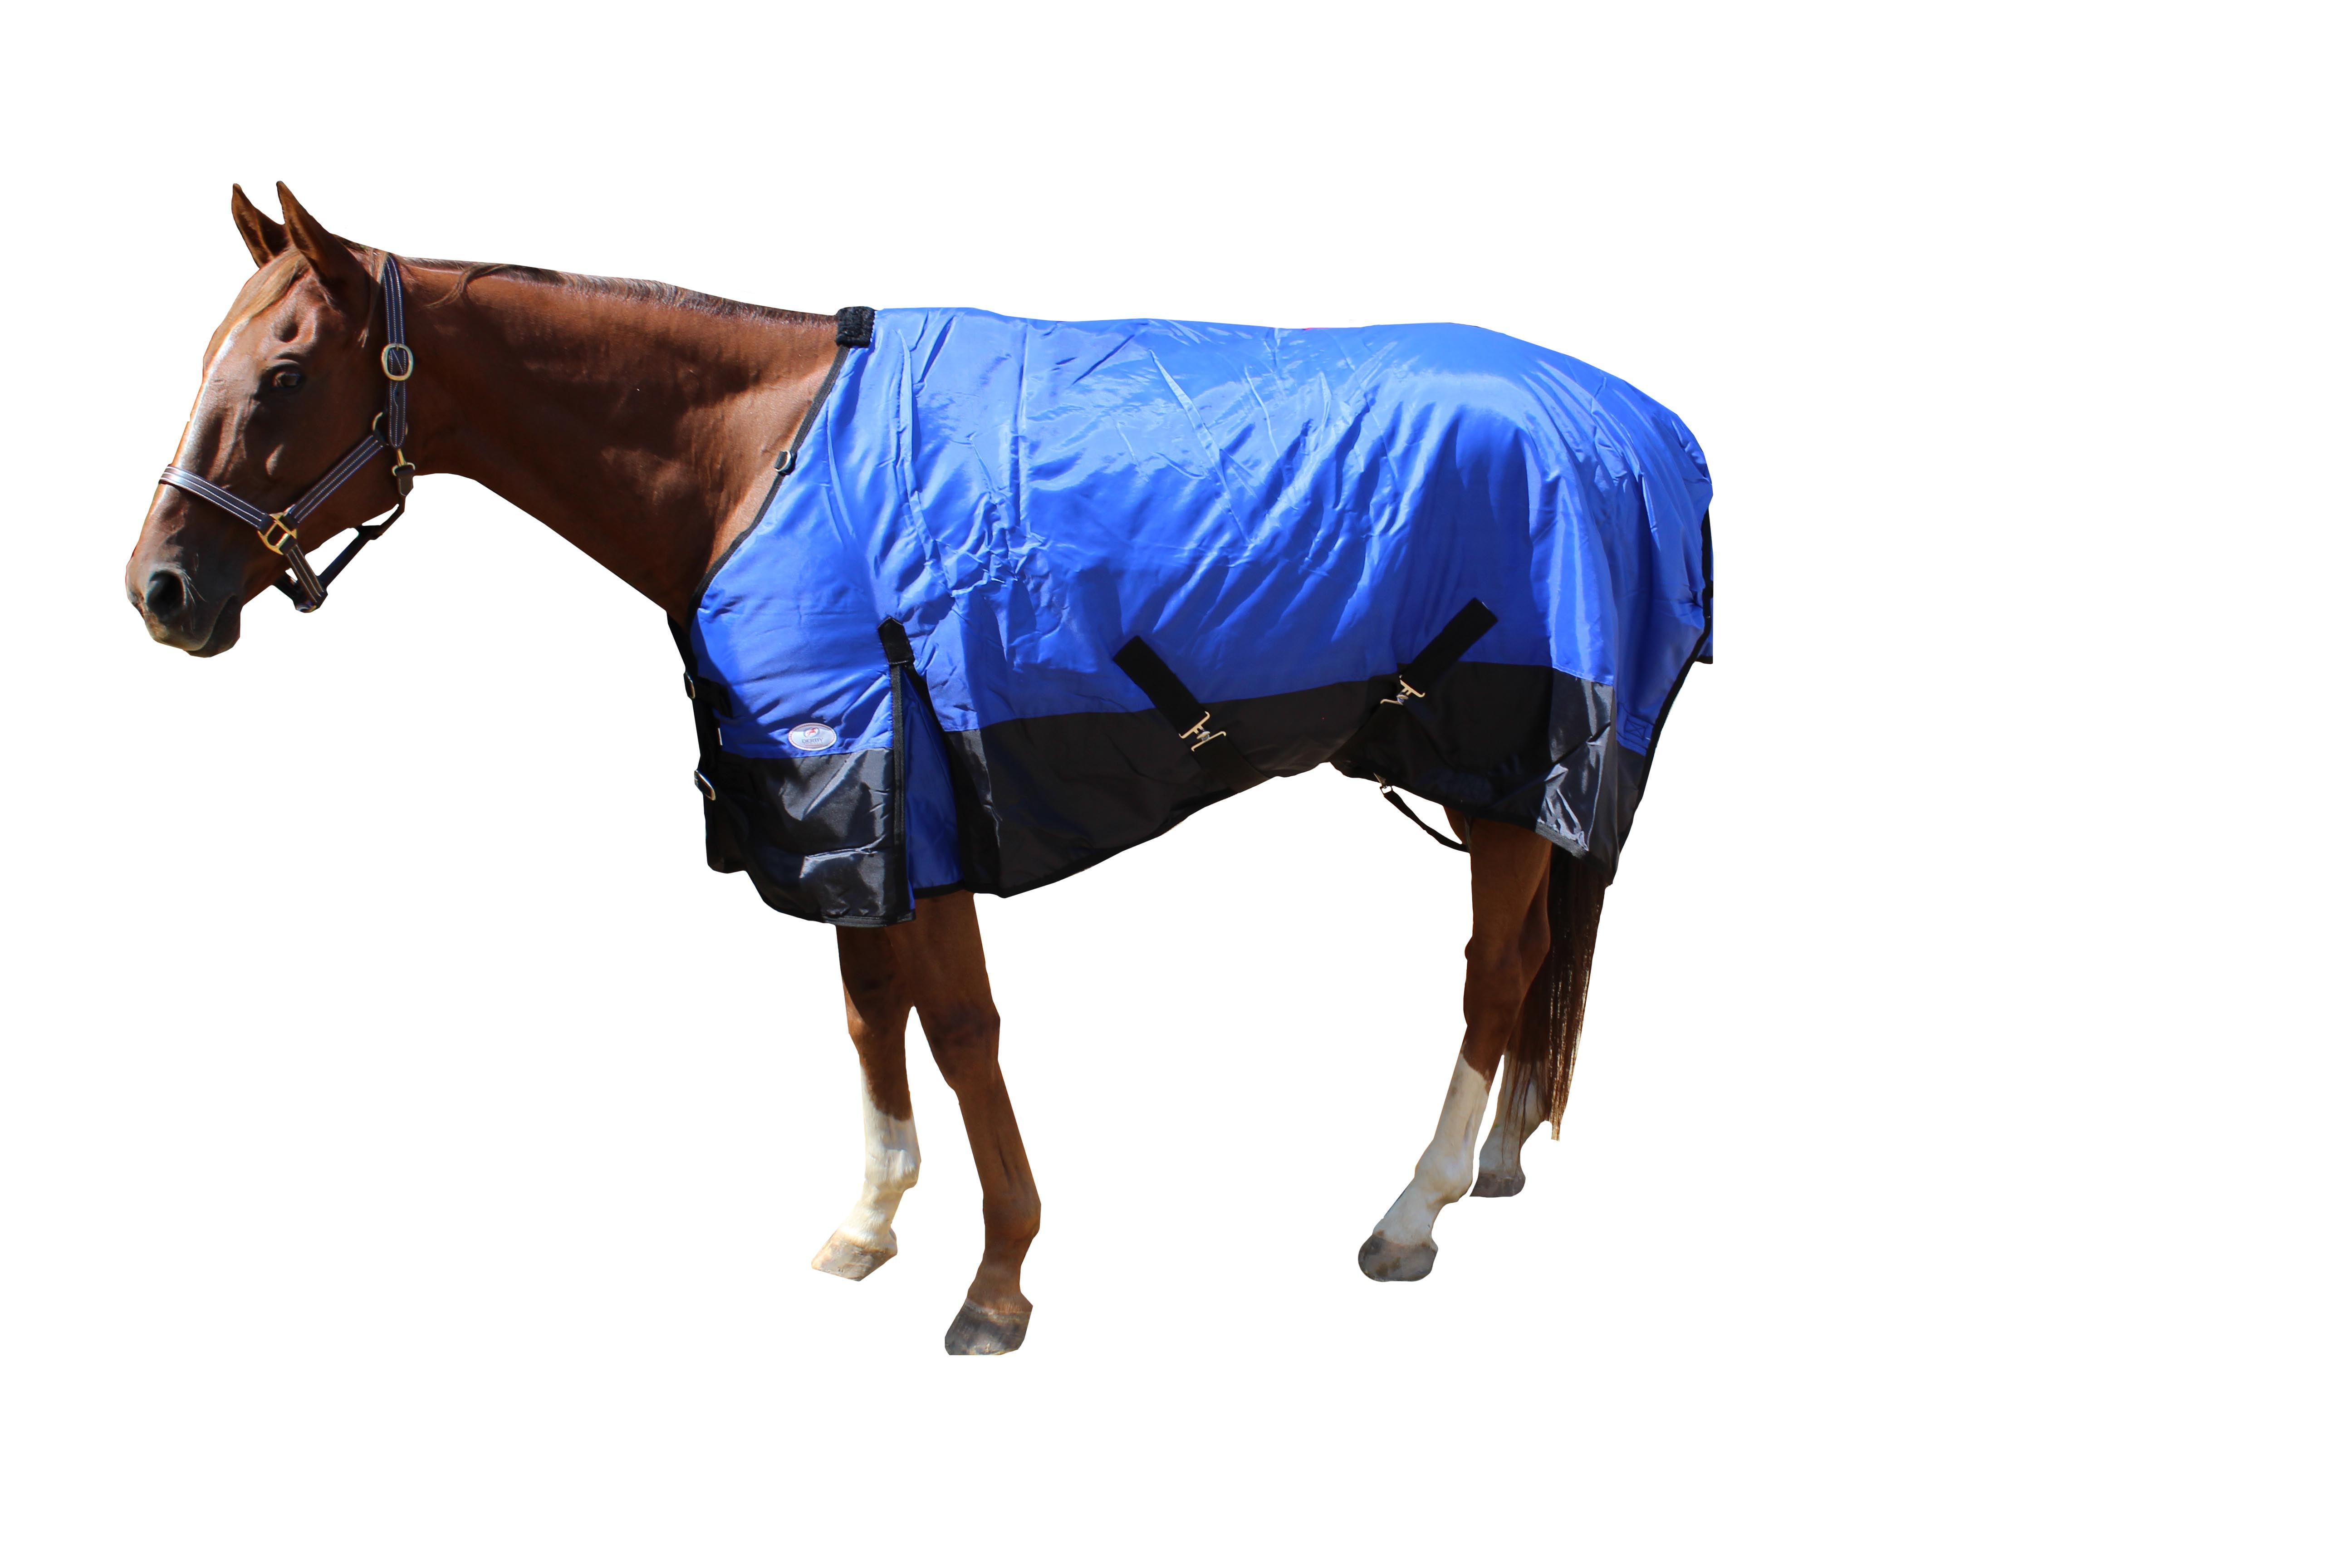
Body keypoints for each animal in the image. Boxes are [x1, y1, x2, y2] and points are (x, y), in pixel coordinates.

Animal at [126, 184, 1712, 1355]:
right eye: (210, 358)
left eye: (284, 372)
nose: (161, 591)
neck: (756, 463)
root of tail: (1641, 427)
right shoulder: (836, 811)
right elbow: (866, 1008)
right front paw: (870, 1225)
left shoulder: (912, 791)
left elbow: (956, 1027)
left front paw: (997, 1281)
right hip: (1511, 786)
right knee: (1541, 960)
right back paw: (1500, 1159)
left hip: (1510, 760)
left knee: (1495, 978)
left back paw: (1414, 1213)